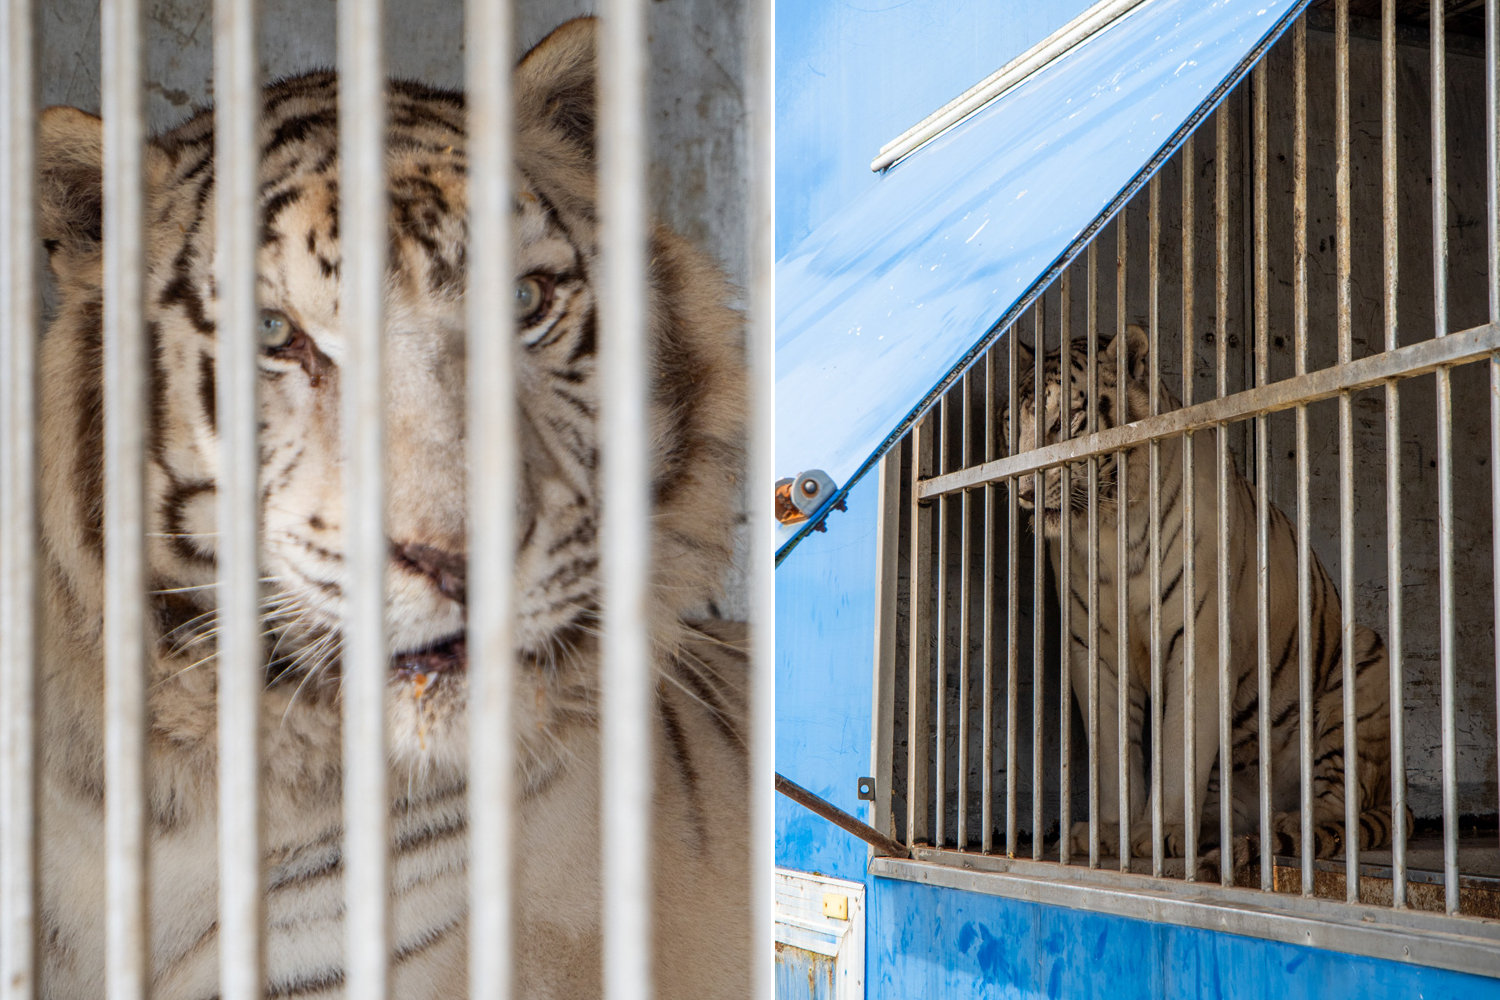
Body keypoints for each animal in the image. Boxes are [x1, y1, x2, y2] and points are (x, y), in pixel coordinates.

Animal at [1004, 323, 1395, 872]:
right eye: (1011, 424)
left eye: (1066, 423)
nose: (1021, 490)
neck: (1108, 526)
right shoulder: (1094, 648)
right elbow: (1111, 750)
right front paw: (1108, 831)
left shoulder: (1198, 637)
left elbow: (1178, 745)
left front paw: (1159, 830)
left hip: (1362, 657)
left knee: (1340, 805)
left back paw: (1291, 823)